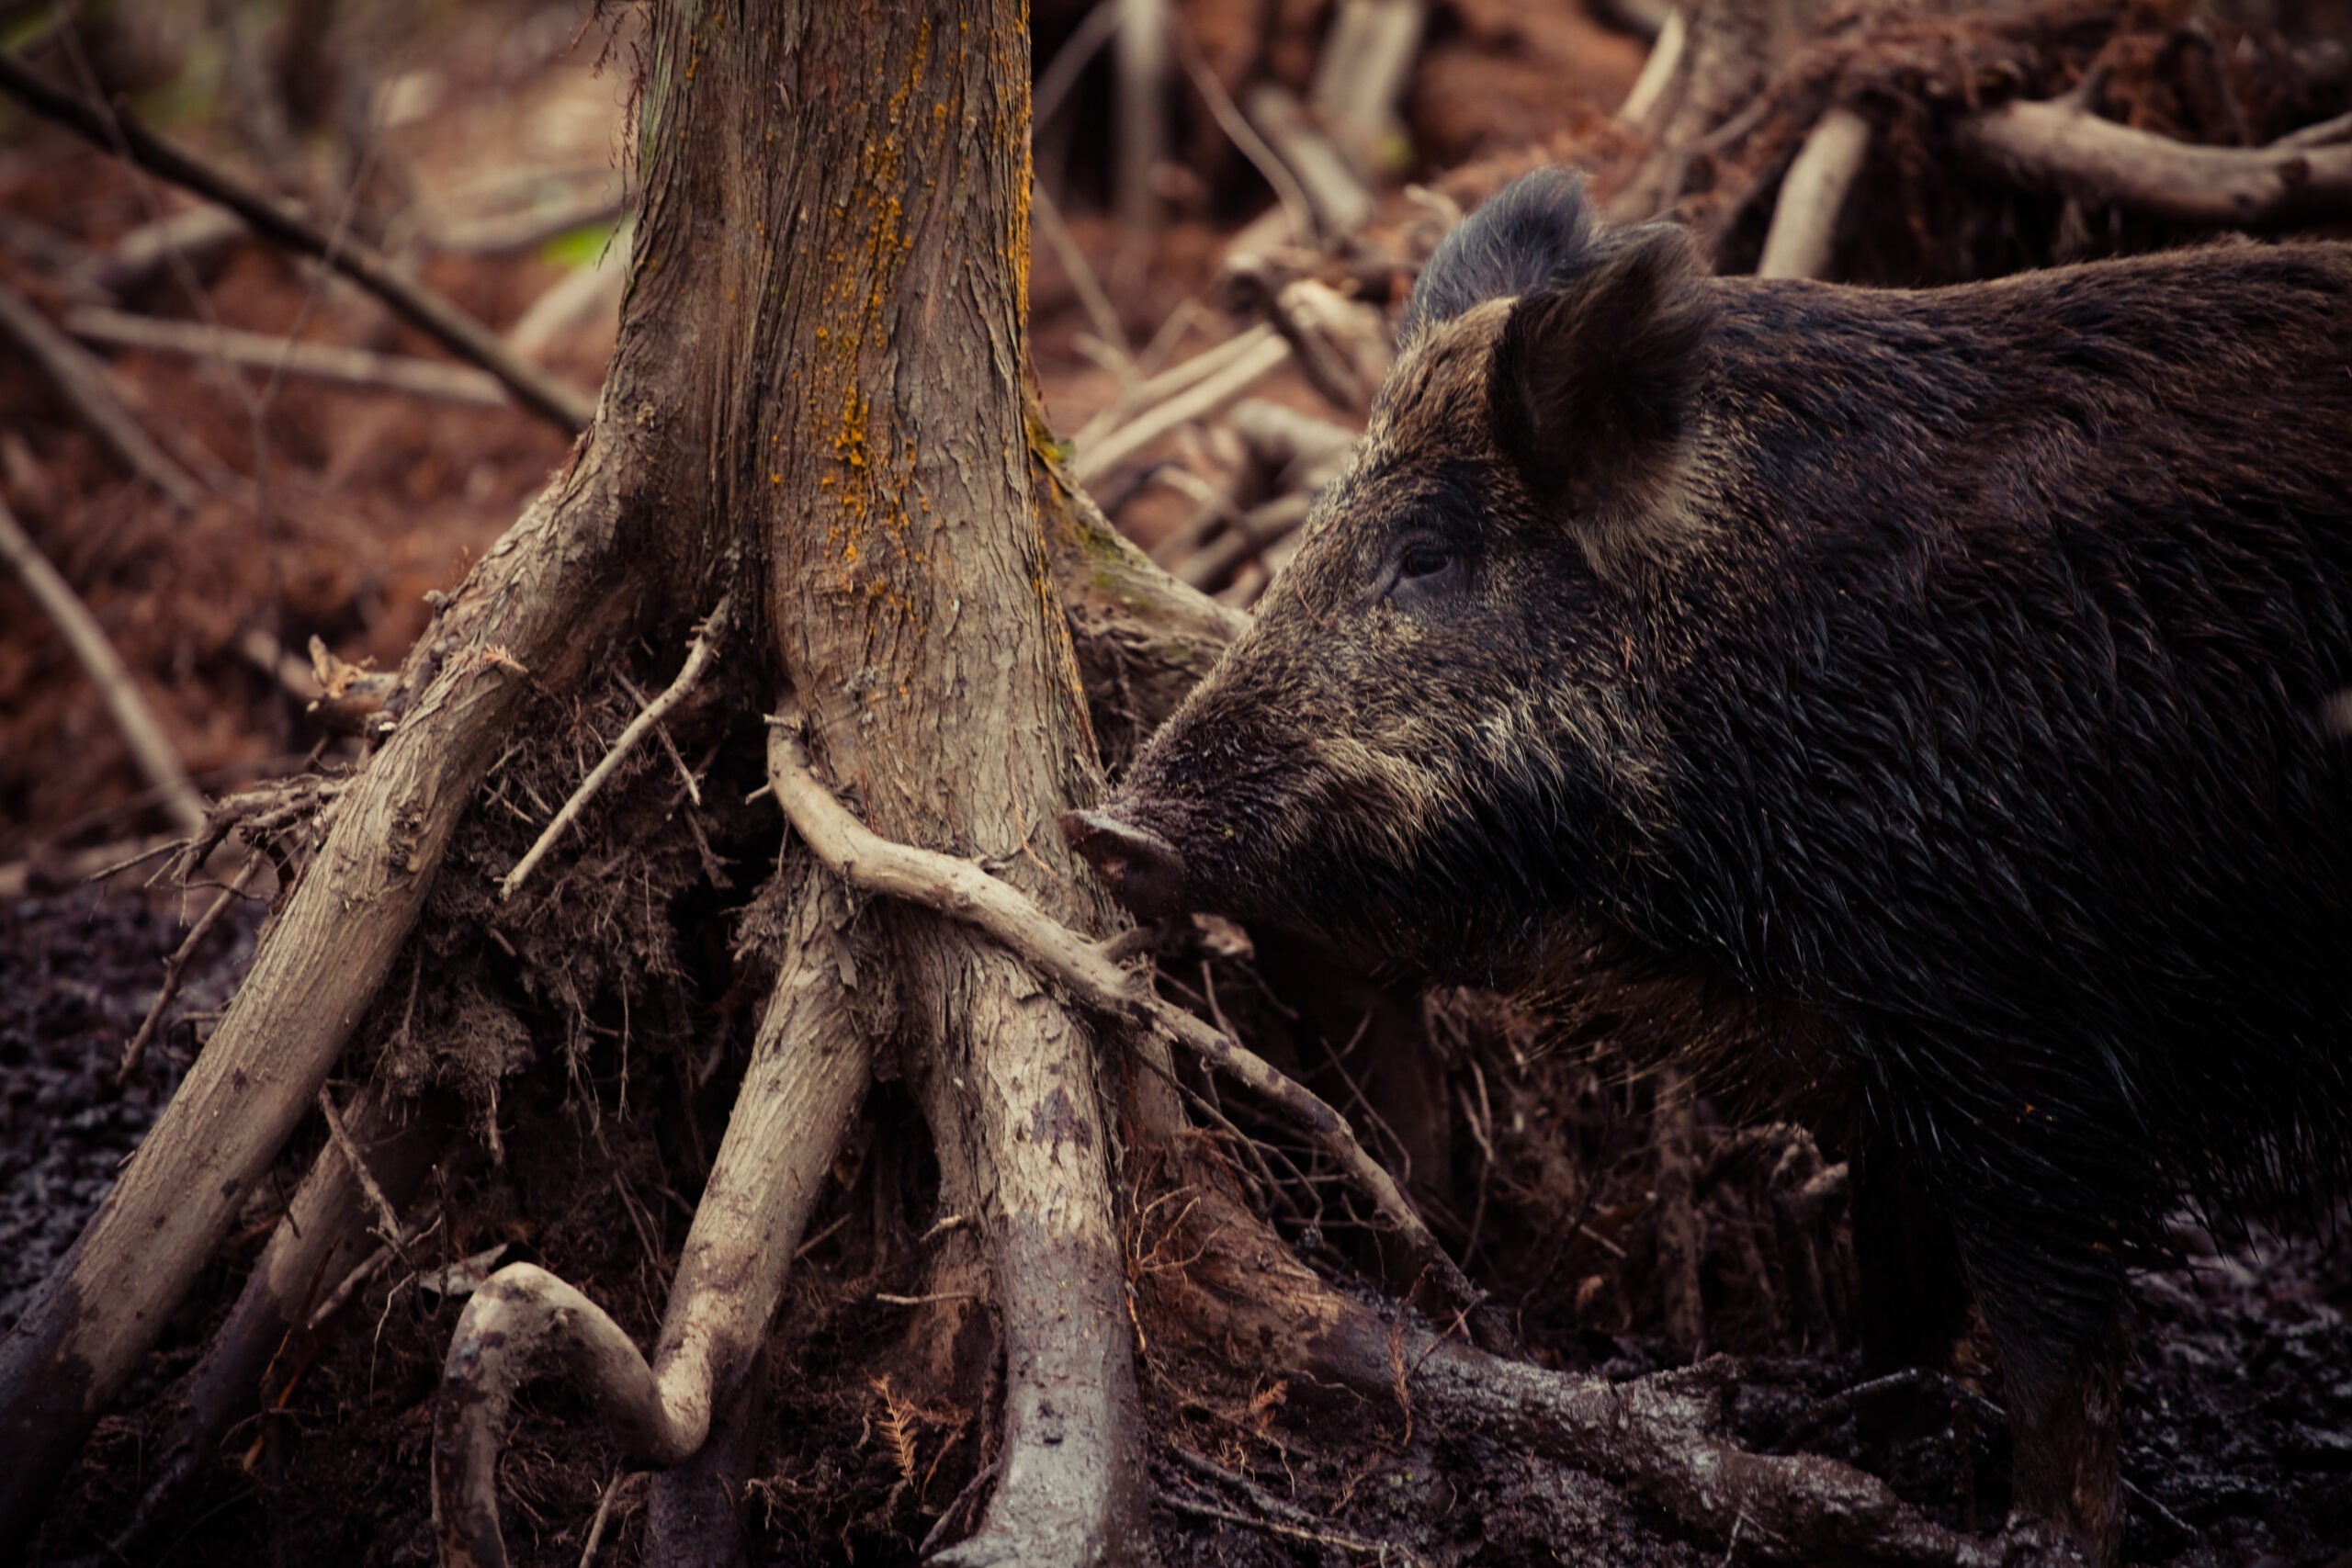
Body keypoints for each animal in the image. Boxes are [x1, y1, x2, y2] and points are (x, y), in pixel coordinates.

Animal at [1063, 169, 2352, 1563]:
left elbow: (2055, 1347)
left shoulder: (2019, 1034)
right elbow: (1898, 1277)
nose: (1110, 828)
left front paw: (2034, 1534)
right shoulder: (1897, 1056)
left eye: (1427, 554)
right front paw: (1870, 1451)